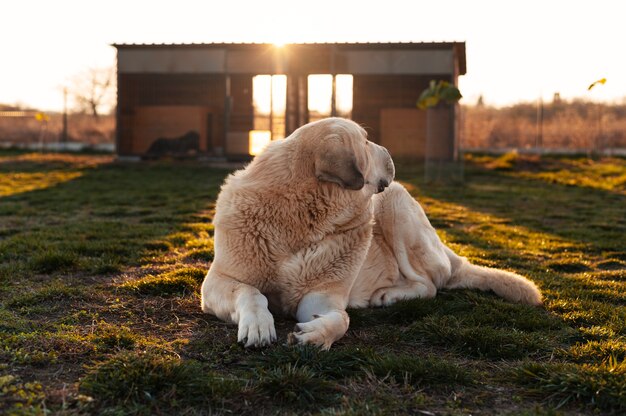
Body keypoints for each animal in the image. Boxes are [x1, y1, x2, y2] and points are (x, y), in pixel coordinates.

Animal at [201, 117, 540, 348]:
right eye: (364, 141)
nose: (389, 152)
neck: (303, 221)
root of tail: (449, 253)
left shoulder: (320, 298)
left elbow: (341, 319)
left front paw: (317, 335)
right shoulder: (218, 281)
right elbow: (250, 292)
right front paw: (258, 324)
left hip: (396, 205)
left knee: (430, 284)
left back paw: (388, 295)